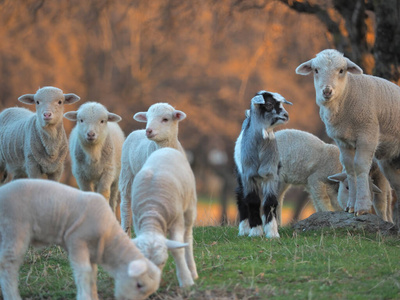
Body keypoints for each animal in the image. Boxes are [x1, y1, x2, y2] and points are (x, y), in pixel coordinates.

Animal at [0, 178, 161, 300]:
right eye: (139, 285)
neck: (109, 237)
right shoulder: (77, 242)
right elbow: (84, 272)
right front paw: (84, 296)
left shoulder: (93, 251)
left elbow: (92, 276)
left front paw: (94, 296)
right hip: (14, 229)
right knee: (8, 265)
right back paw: (12, 296)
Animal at [119, 103, 187, 237]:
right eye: (147, 118)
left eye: (165, 119)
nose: (148, 130)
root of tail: (138, 130)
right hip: (127, 171)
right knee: (125, 204)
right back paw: (126, 232)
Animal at [234, 90, 290, 238]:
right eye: (269, 104)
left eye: (281, 103)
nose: (286, 115)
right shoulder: (248, 176)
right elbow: (252, 201)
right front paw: (255, 231)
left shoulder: (270, 175)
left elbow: (270, 202)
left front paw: (272, 232)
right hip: (240, 174)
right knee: (241, 197)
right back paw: (244, 229)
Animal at [296, 48, 400, 225]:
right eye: (316, 70)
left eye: (341, 70)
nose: (327, 91)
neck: (347, 95)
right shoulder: (343, 141)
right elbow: (350, 168)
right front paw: (351, 206)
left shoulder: (367, 135)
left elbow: (360, 166)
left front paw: (362, 207)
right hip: (390, 161)